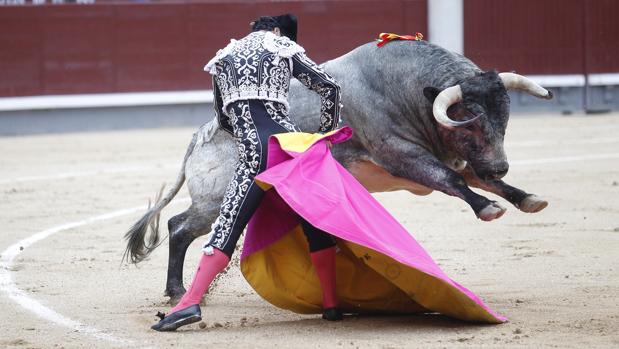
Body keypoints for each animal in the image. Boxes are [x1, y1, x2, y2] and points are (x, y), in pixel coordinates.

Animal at [124, 38, 552, 300]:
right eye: (470, 121)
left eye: (504, 118)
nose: (500, 165)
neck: (406, 89)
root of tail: (202, 135)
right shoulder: (403, 155)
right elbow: (451, 181)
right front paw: (489, 208)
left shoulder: (460, 157)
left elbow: (477, 180)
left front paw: (527, 199)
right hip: (218, 199)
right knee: (180, 227)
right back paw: (177, 292)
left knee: (179, 225)